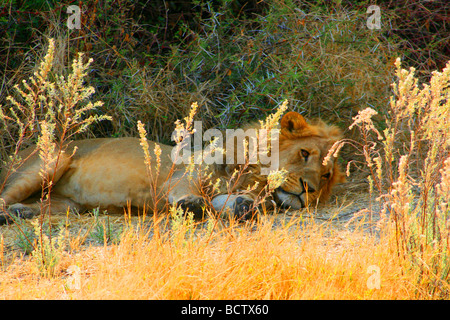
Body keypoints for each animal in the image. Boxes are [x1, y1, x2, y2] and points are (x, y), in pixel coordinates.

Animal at [0, 110, 344, 225]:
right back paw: (9, 214)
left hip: (69, 205)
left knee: (43, 205)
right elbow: (192, 194)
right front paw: (192, 205)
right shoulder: (178, 179)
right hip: (51, 161)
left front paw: (247, 207)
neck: (253, 178)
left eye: (326, 175)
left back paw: (21, 212)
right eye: (304, 153)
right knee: (3, 196)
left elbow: (232, 203)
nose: (309, 190)